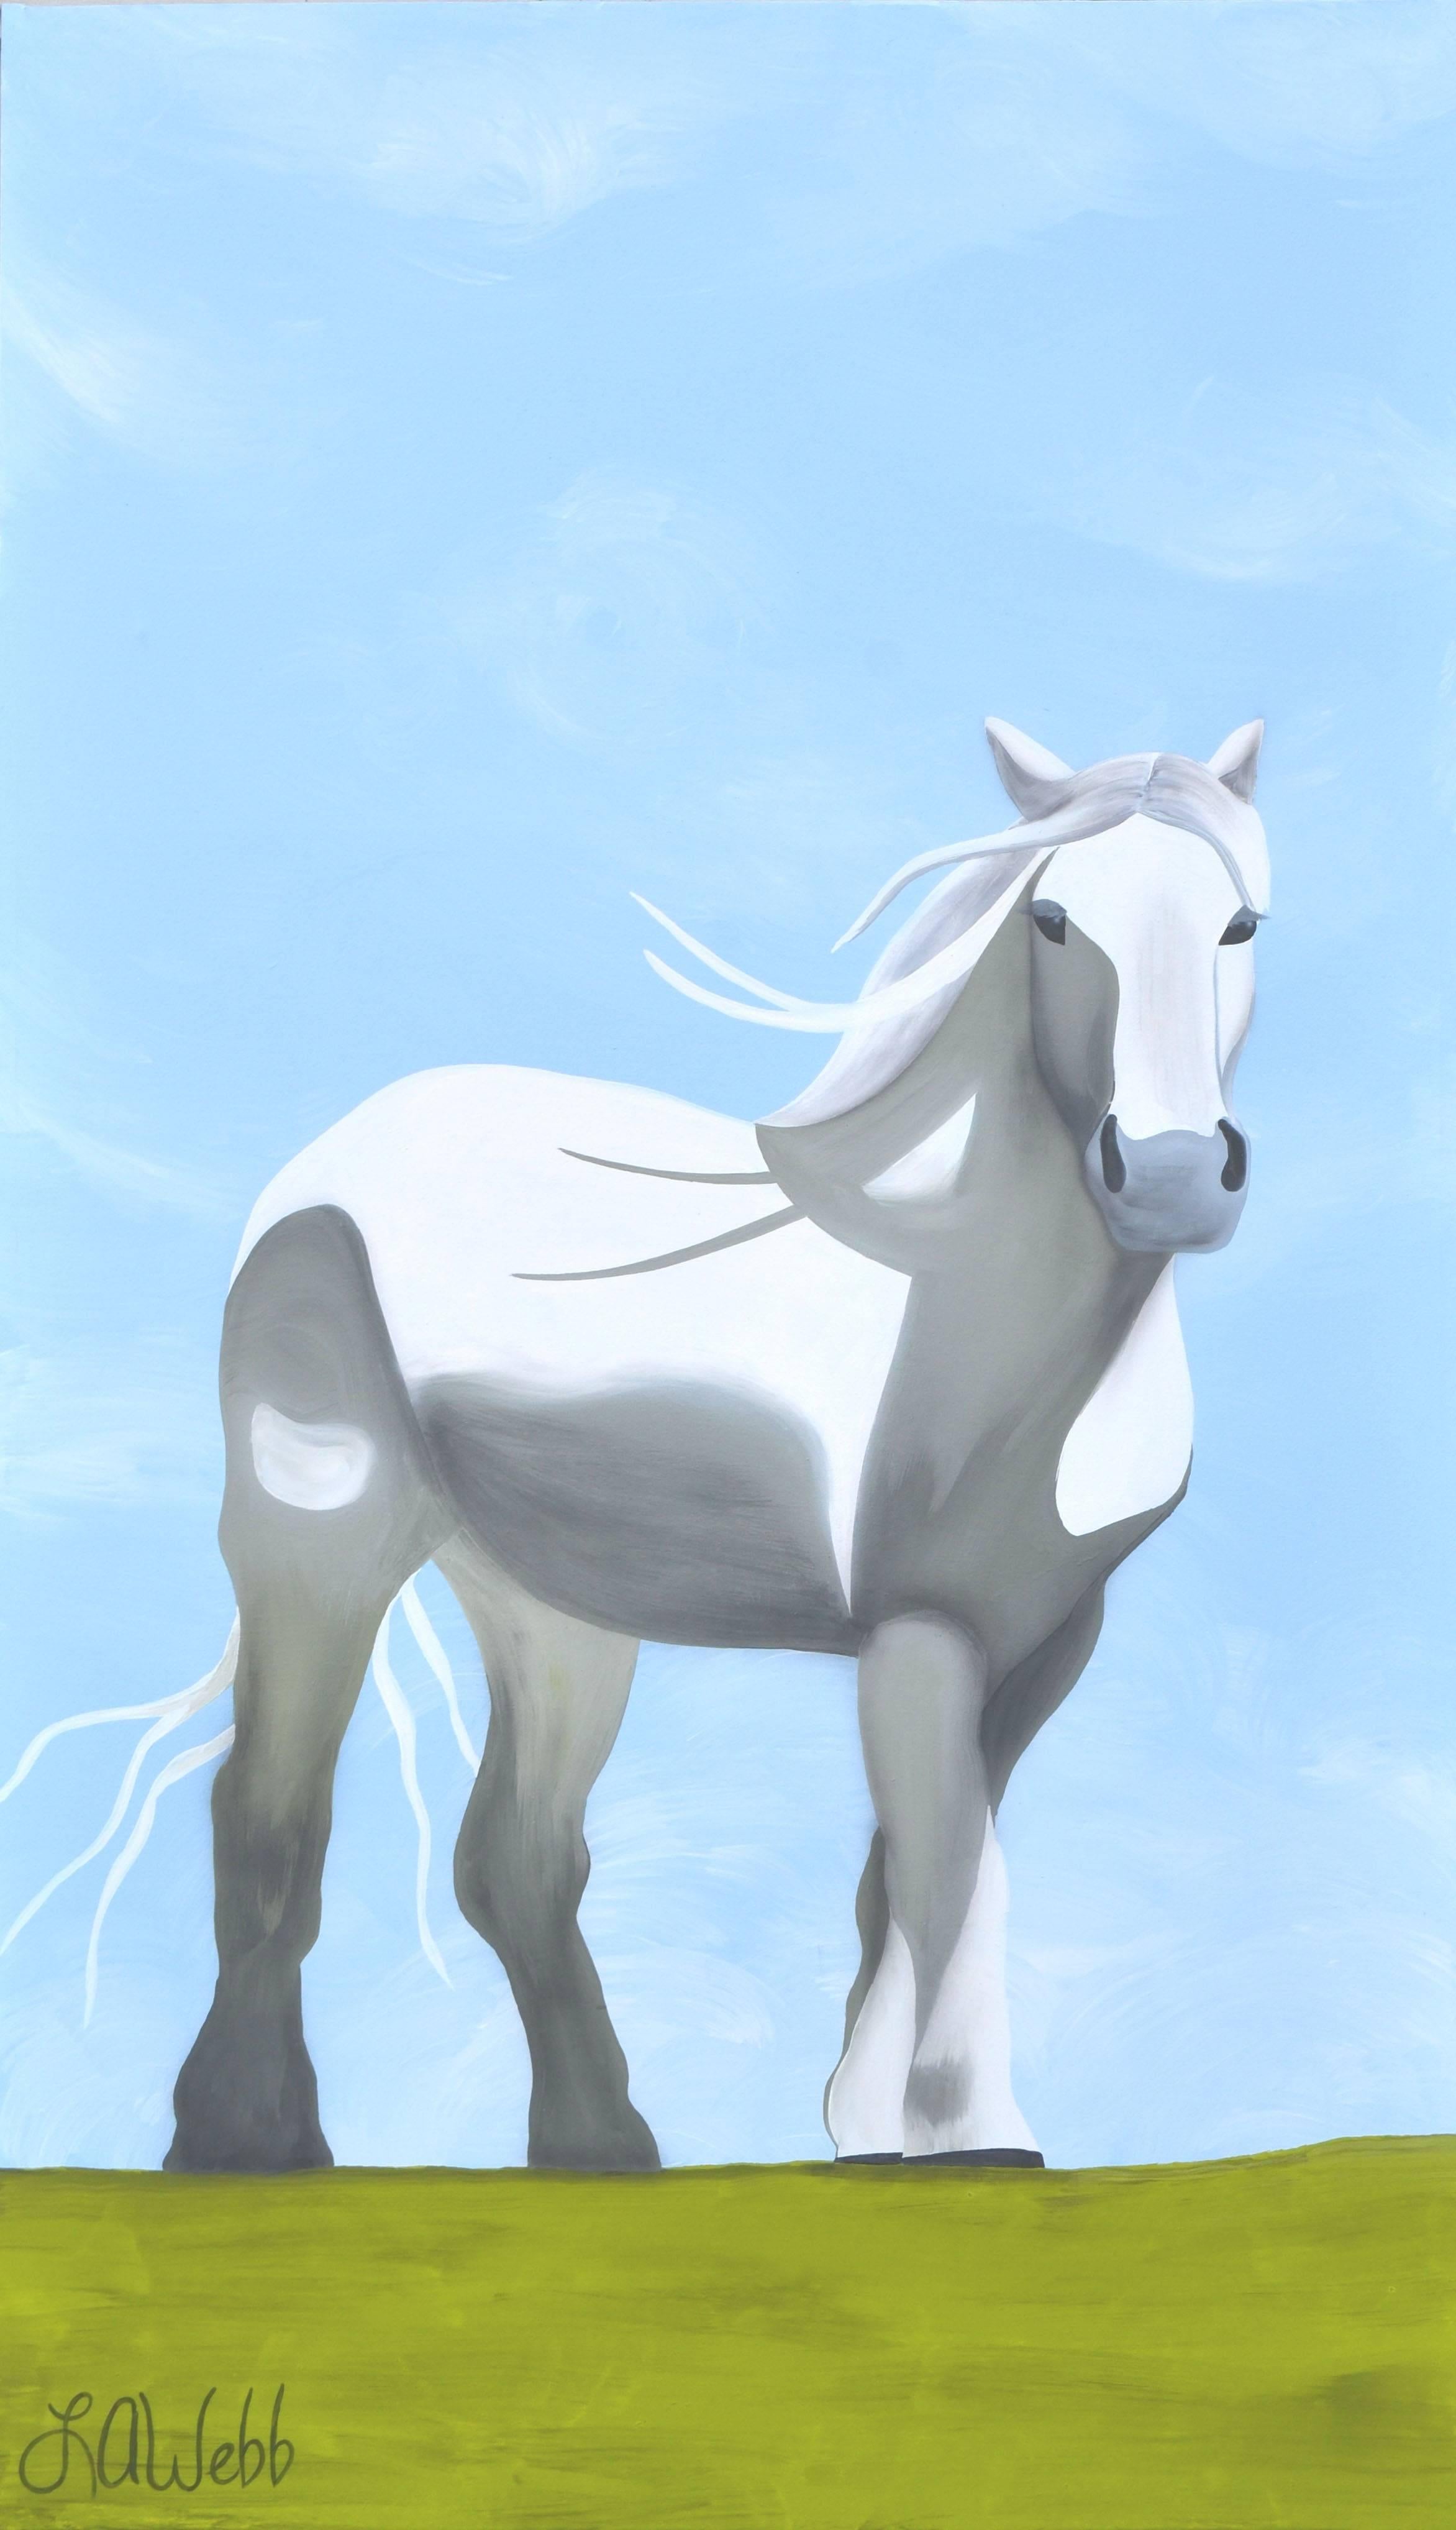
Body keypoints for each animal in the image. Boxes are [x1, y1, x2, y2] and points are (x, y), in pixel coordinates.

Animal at [118, 714, 1268, 2174]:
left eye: (1238, 922)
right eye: (1052, 919)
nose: (1169, 1177)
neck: (969, 1279)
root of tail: (330, 1156)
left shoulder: (1041, 1642)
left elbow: (907, 1875)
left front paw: (872, 2129)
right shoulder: (919, 1636)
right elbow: (953, 1871)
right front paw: (973, 2136)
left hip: (555, 1611)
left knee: (517, 1859)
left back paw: (600, 2149)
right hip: (320, 1537)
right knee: (269, 1810)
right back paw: (249, 2140)